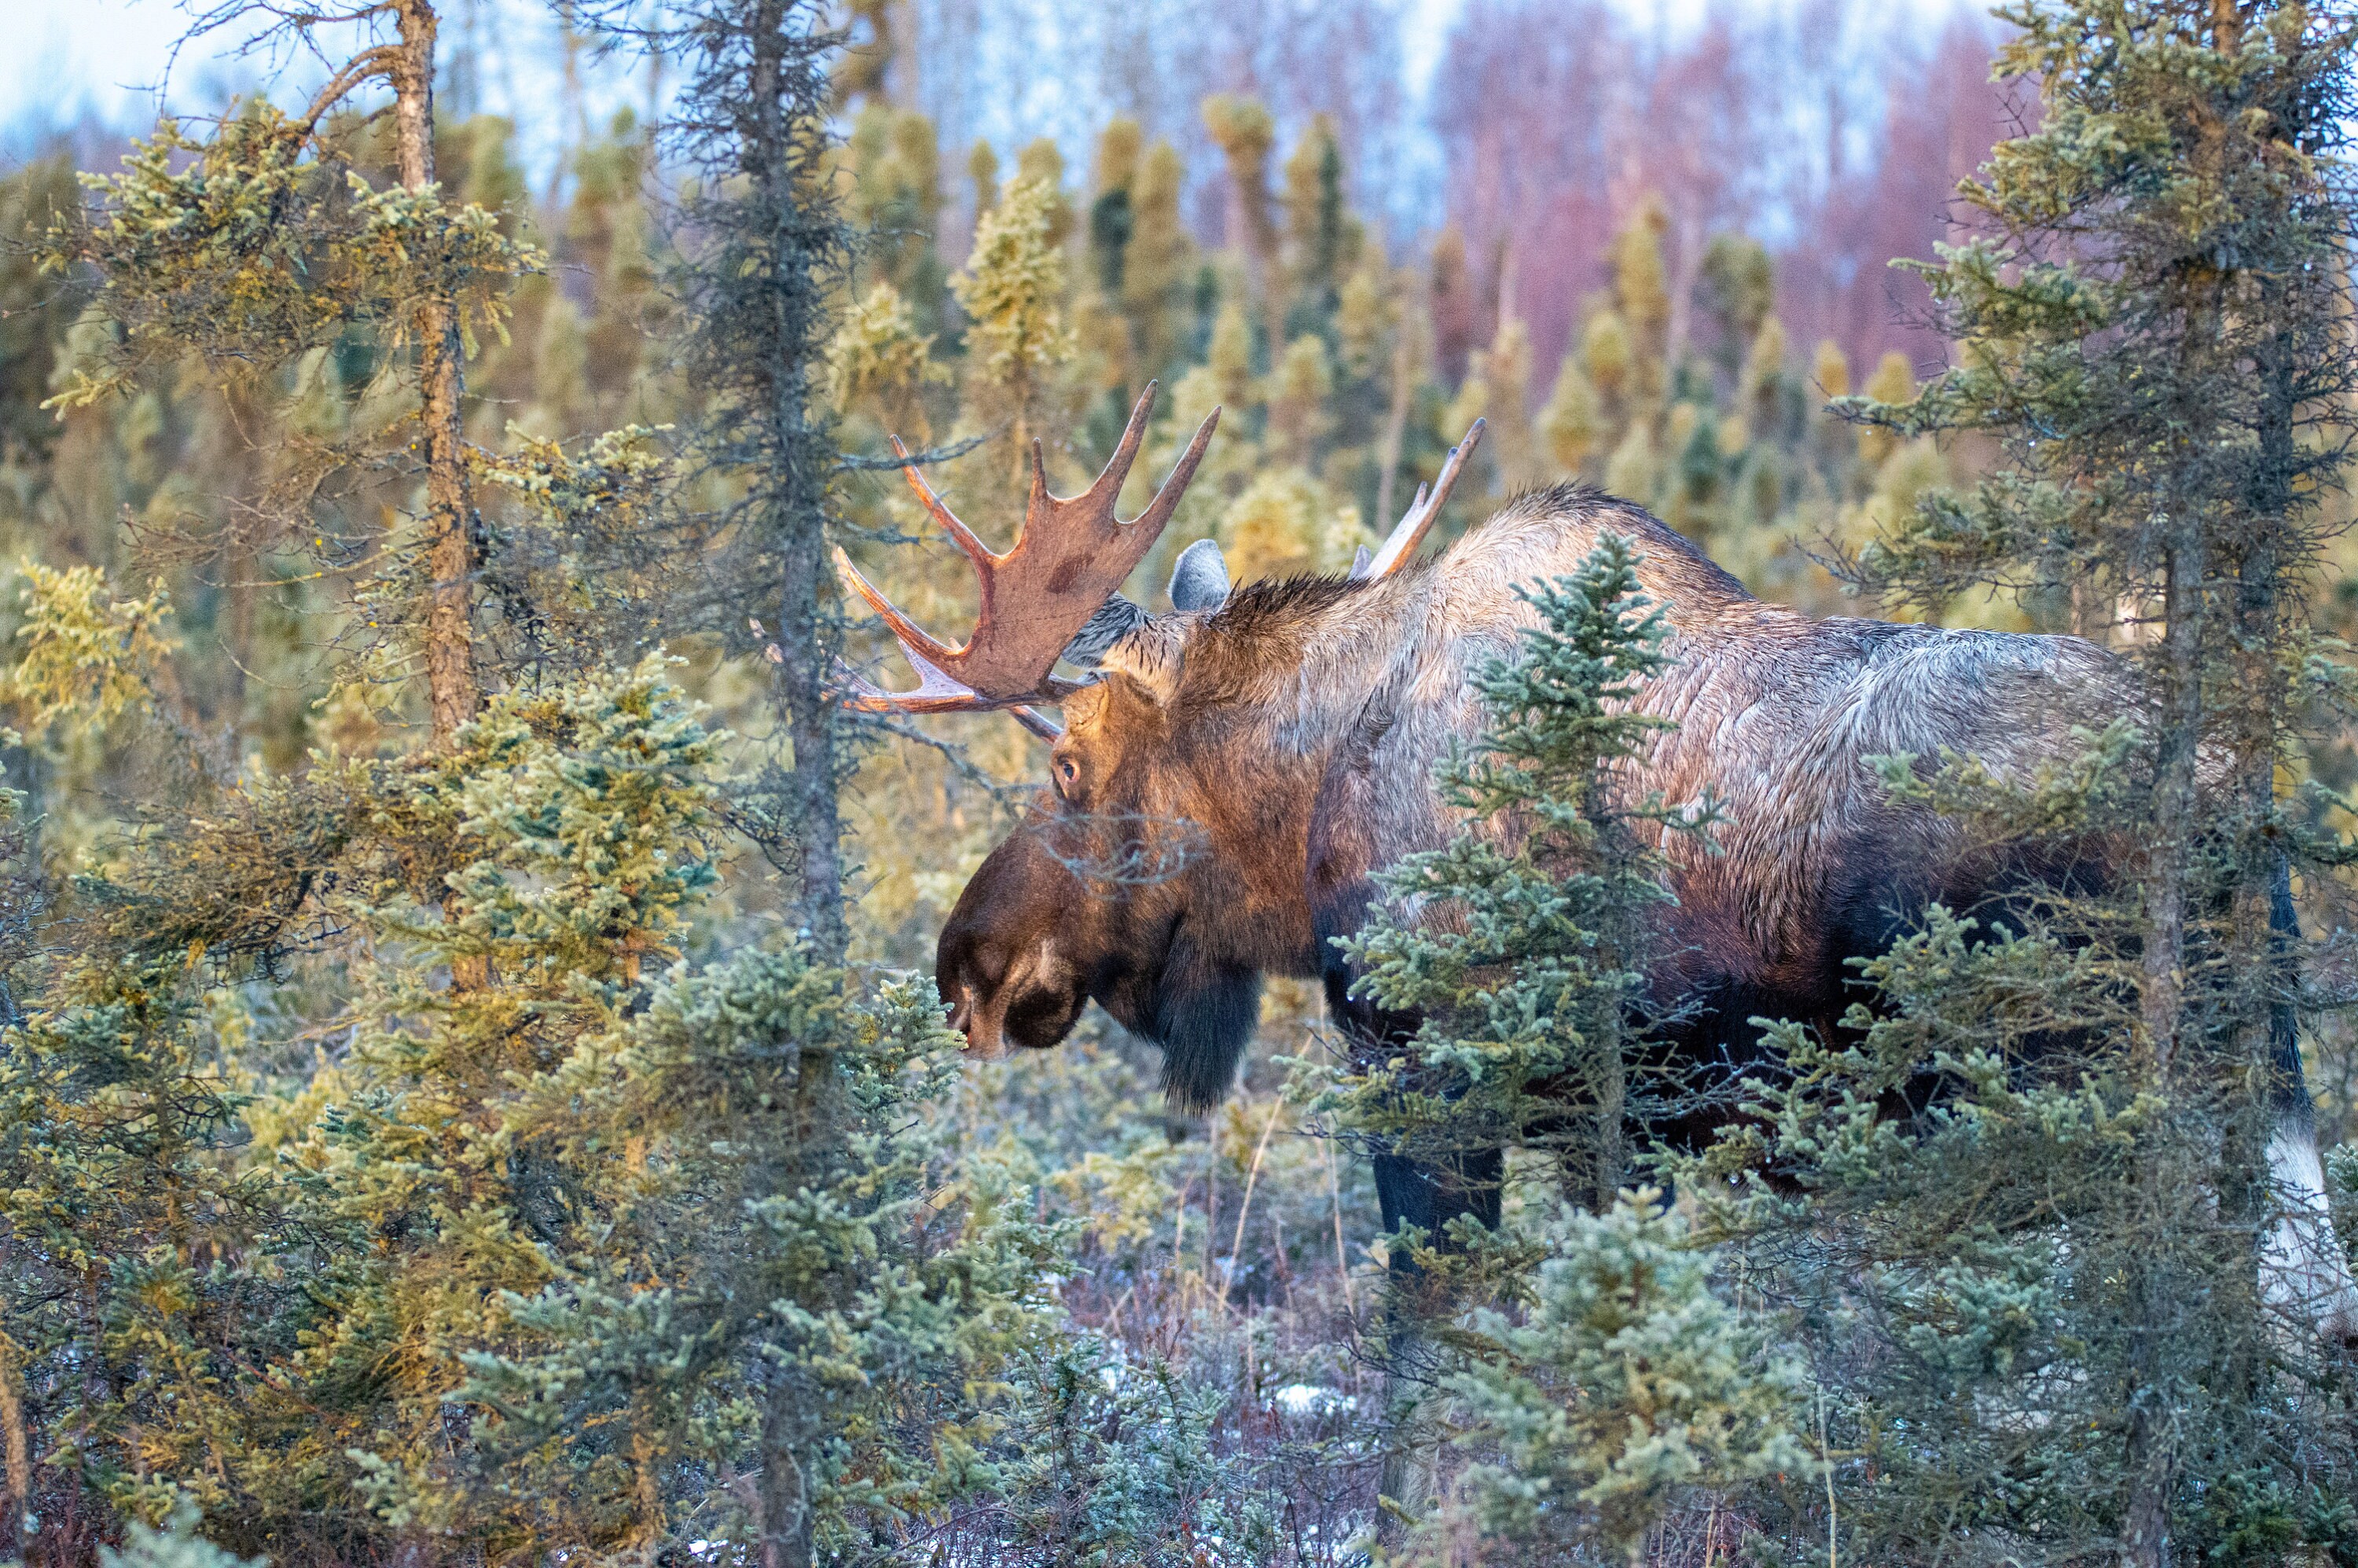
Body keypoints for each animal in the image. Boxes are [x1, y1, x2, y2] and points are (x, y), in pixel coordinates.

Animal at [834, 384, 2358, 1346]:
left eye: (1069, 769)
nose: (964, 962)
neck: (1311, 801)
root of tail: (2225, 791)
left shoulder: (1425, 1054)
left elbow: (1429, 1334)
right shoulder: (1600, 1111)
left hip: (2033, 1082)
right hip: (2236, 1074)